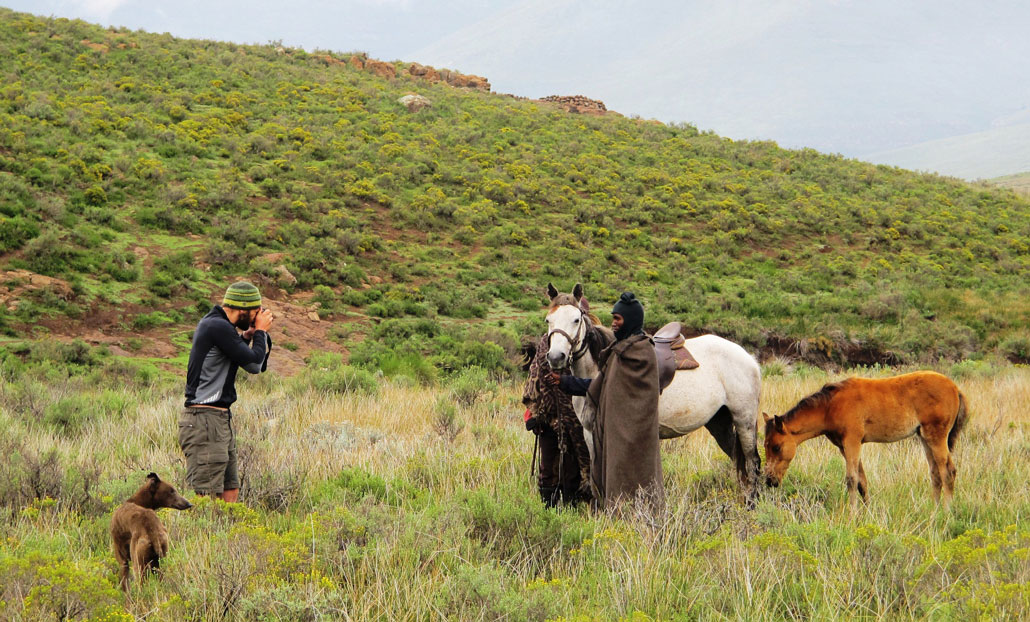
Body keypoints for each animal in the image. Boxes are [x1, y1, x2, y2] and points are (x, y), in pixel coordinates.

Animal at [547, 284, 766, 498]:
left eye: (576, 319)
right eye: (548, 319)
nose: (556, 357)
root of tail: (749, 358)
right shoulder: (589, 432)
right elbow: (595, 479)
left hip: (744, 420)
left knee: (752, 462)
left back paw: (752, 502)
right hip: (719, 422)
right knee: (737, 460)